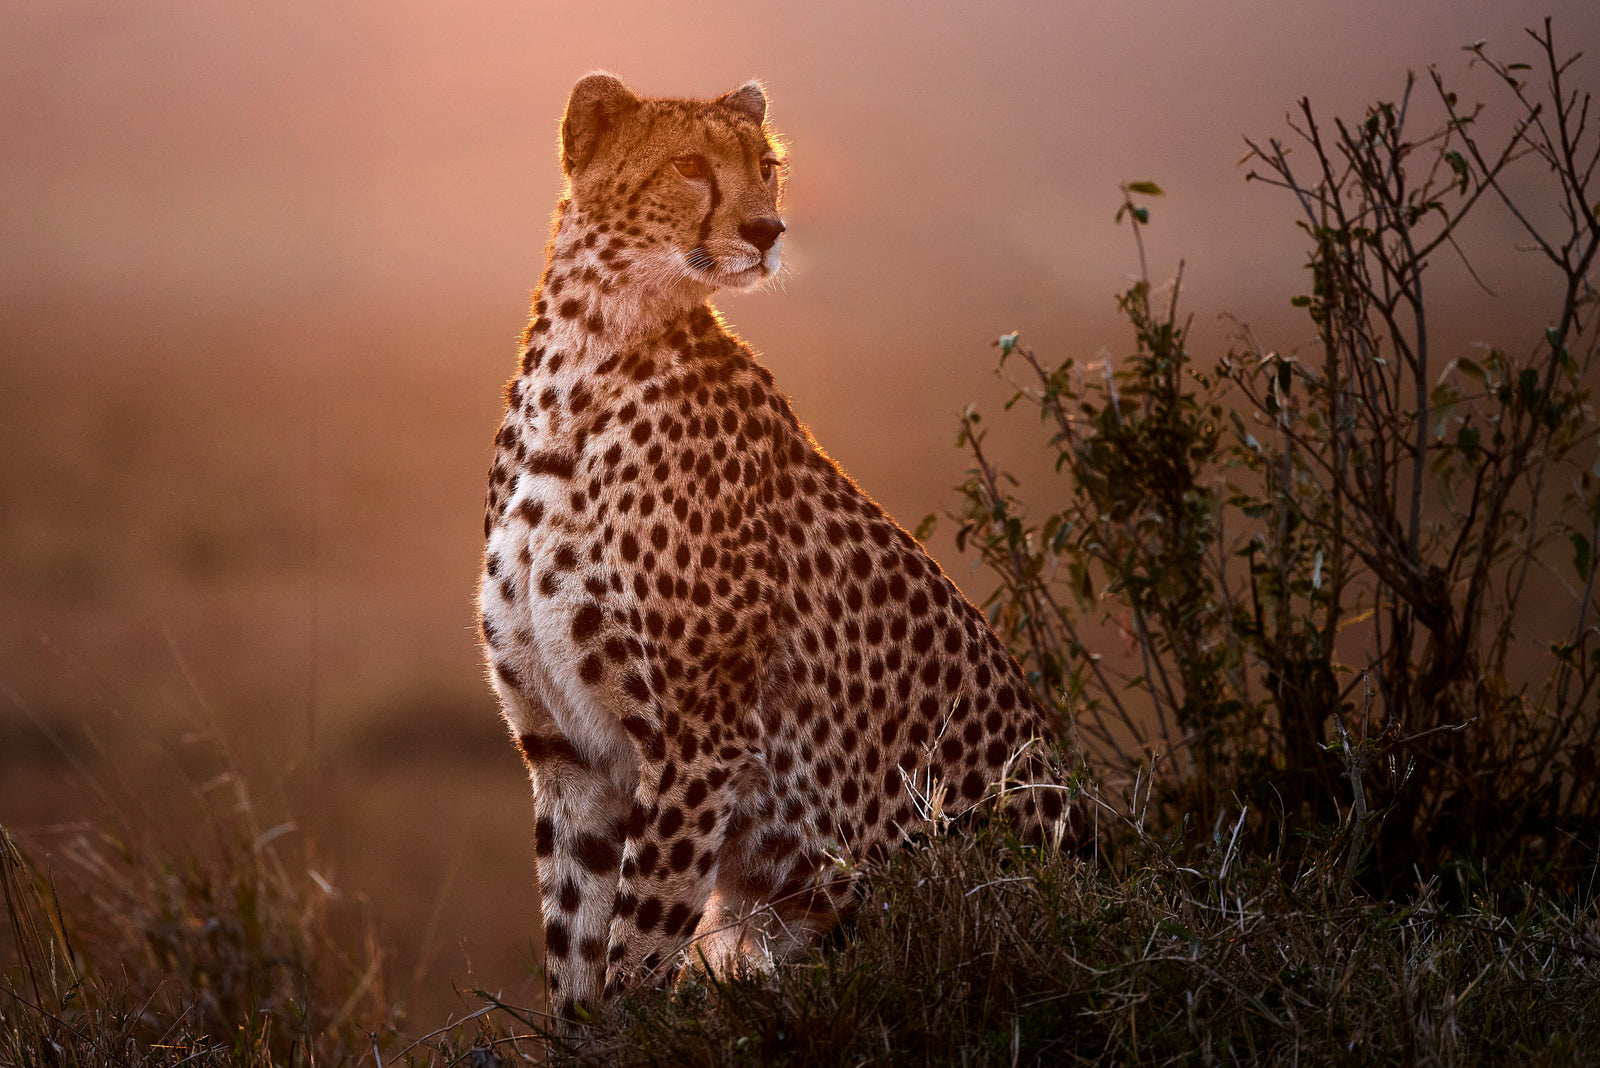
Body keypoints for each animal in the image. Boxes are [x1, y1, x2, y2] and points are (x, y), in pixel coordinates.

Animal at [478, 72, 1086, 1025]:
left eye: (766, 166)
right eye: (689, 165)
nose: (768, 230)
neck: (584, 361)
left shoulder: (699, 737)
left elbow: (639, 942)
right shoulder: (567, 751)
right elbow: (576, 953)